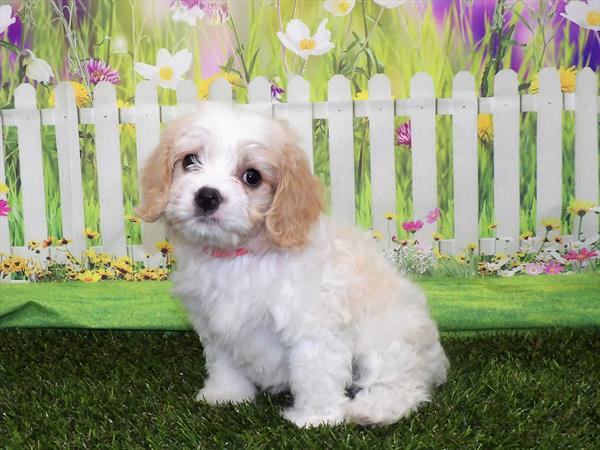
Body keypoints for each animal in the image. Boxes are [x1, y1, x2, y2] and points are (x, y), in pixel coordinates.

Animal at [138, 103, 448, 428]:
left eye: (252, 176)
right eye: (190, 161)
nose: (207, 196)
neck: (241, 256)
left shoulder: (313, 325)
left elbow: (314, 373)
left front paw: (315, 418)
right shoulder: (216, 326)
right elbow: (224, 363)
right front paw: (226, 395)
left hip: (386, 340)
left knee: (404, 385)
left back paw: (373, 410)